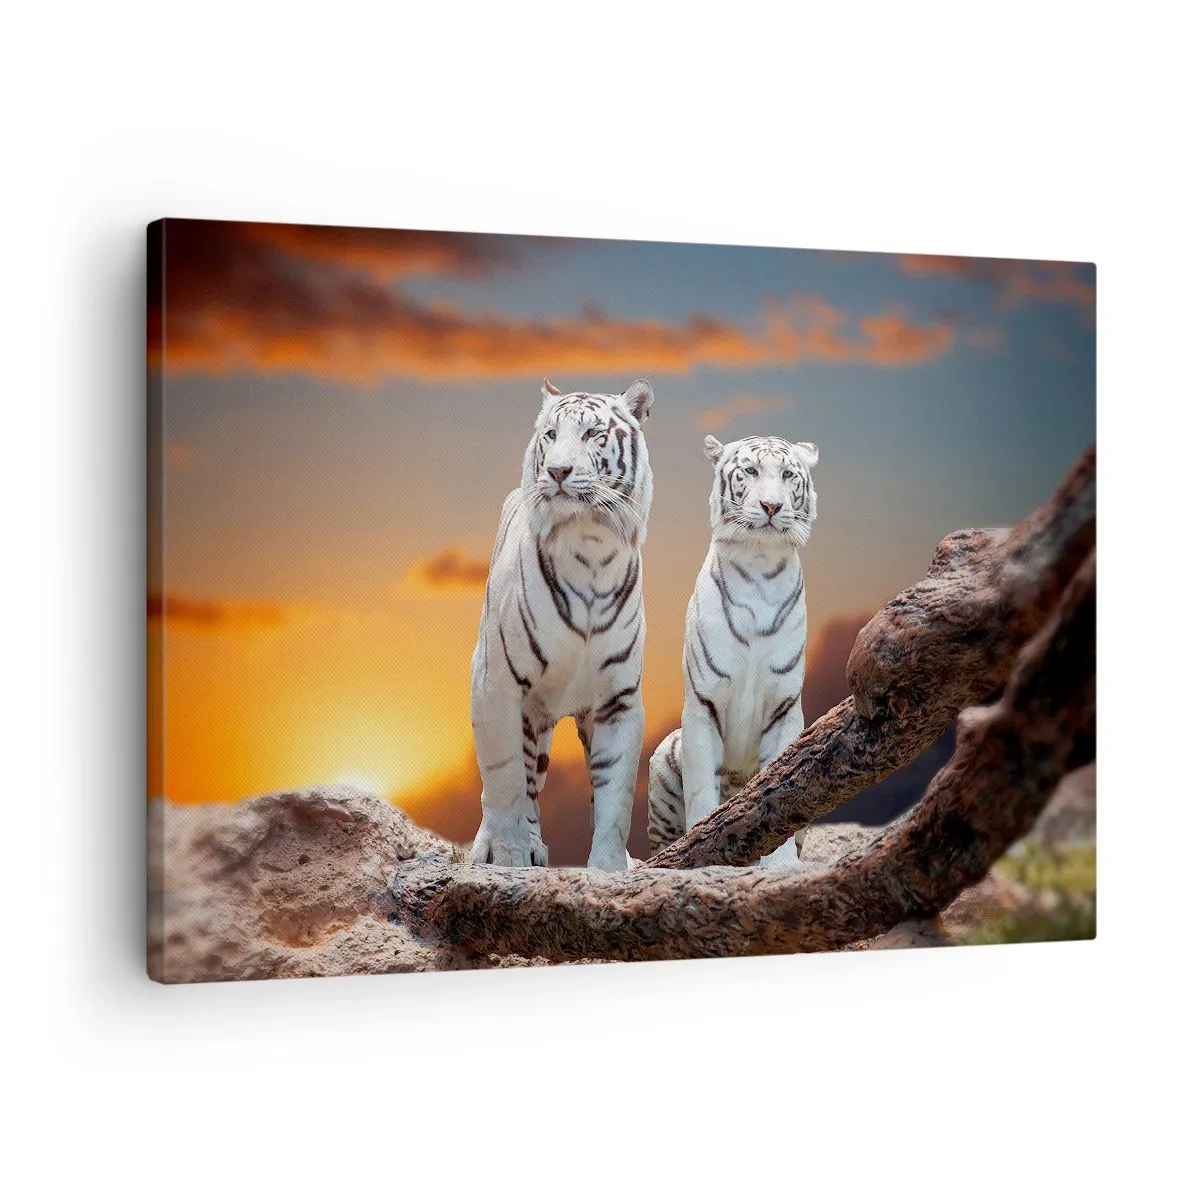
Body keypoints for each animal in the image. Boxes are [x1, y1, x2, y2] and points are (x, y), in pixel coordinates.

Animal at [469, 377, 655, 871]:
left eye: (593, 434)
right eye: (551, 435)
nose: (557, 471)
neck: (590, 543)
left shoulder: (618, 699)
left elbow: (615, 795)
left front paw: (610, 868)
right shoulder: (495, 683)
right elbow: (504, 780)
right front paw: (507, 854)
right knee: (521, 780)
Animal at [647, 433, 818, 866]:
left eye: (788, 474)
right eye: (751, 471)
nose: (772, 506)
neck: (759, 564)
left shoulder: (785, 706)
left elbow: (780, 788)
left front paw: (779, 865)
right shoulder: (702, 703)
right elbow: (701, 792)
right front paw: (702, 850)